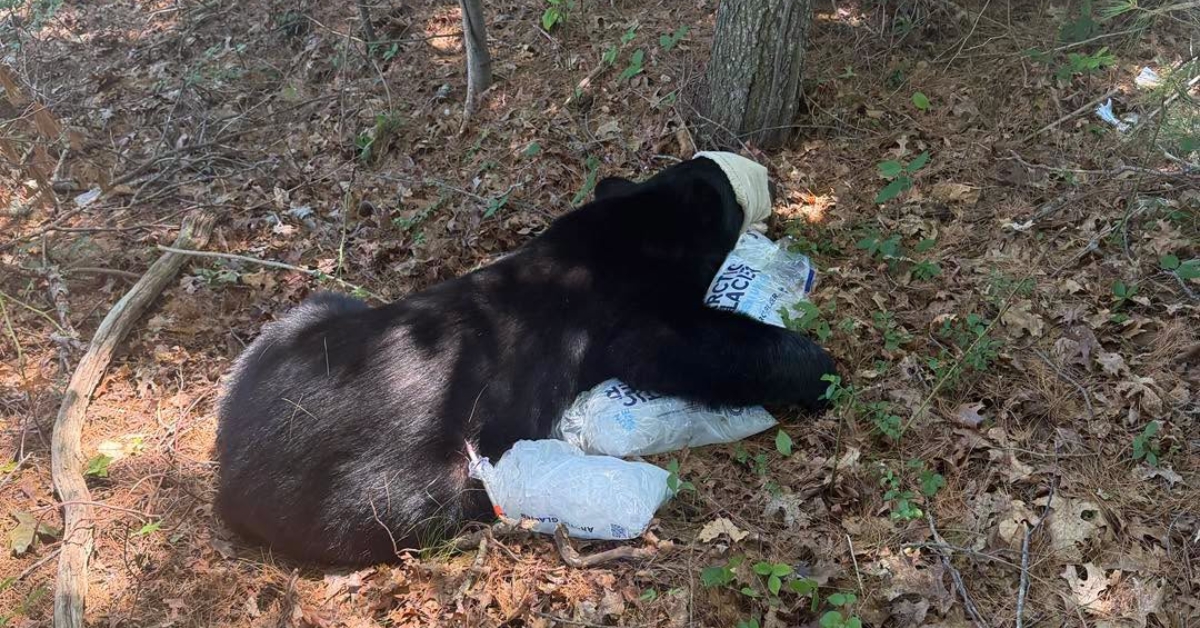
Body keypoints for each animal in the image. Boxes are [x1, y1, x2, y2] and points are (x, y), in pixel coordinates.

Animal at [215, 153, 837, 565]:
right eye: (731, 194)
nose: (760, 176)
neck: (627, 231)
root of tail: (228, 471)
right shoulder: (630, 313)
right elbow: (691, 346)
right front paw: (821, 370)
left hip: (302, 320)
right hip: (386, 485)